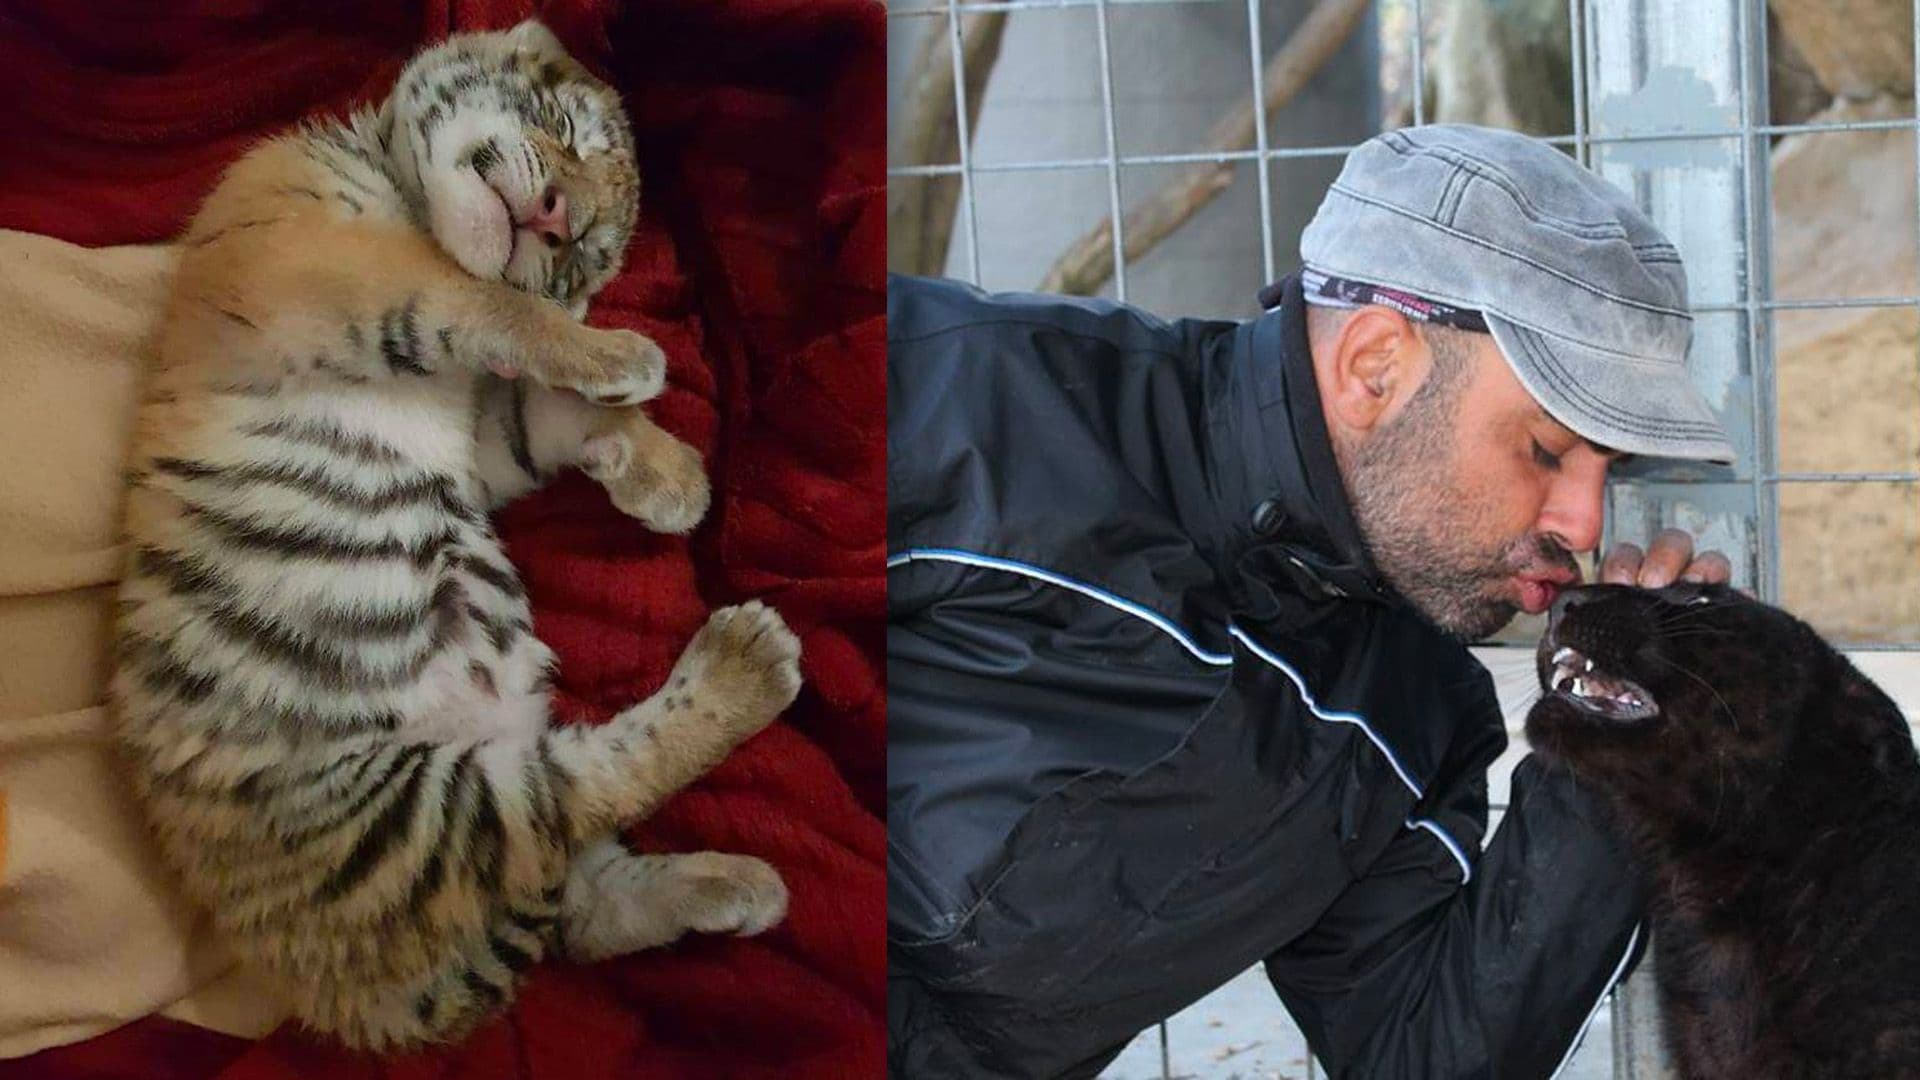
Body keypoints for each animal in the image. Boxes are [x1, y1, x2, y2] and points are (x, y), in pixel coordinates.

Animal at [110, 20, 801, 1051]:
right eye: (565, 131)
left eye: (586, 254)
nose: (556, 220)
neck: (403, 192)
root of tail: (350, 1002)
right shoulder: (307, 262)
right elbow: (481, 303)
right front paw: (628, 361)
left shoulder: (474, 439)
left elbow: (544, 407)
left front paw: (670, 476)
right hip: (415, 818)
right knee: (582, 799)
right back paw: (750, 665)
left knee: (590, 902)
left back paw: (743, 885)